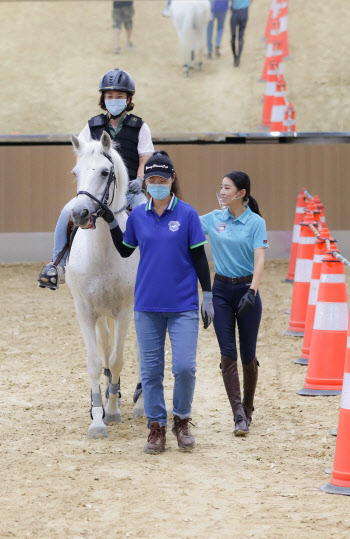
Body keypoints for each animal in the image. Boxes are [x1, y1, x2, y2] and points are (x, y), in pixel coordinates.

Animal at [65, 131, 144, 438]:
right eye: (75, 172)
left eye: (103, 172)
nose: (80, 213)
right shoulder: (86, 312)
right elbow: (96, 363)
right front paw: (97, 416)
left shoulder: (124, 311)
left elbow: (119, 359)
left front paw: (111, 412)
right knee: (107, 347)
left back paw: (138, 403)